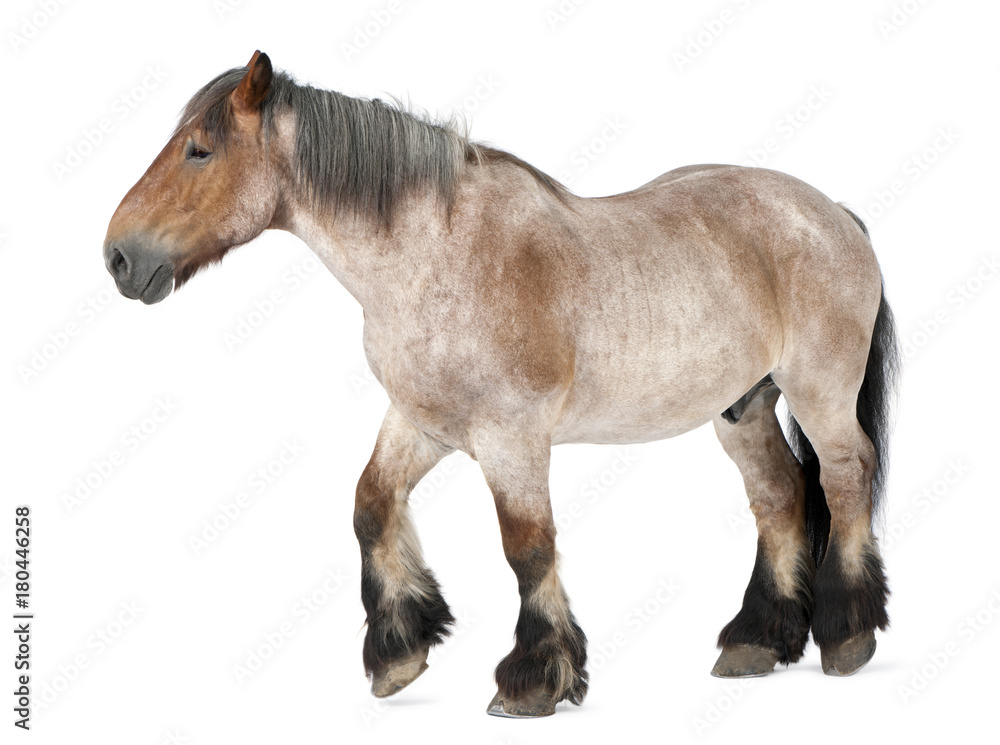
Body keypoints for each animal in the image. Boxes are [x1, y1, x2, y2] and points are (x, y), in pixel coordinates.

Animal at [103, 51, 898, 718]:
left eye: (199, 150)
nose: (117, 257)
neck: (436, 256)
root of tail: (833, 213)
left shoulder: (511, 438)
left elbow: (527, 546)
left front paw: (533, 678)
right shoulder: (420, 422)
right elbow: (370, 506)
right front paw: (400, 652)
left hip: (819, 393)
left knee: (844, 478)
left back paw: (847, 633)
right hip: (743, 407)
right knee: (779, 496)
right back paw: (757, 639)